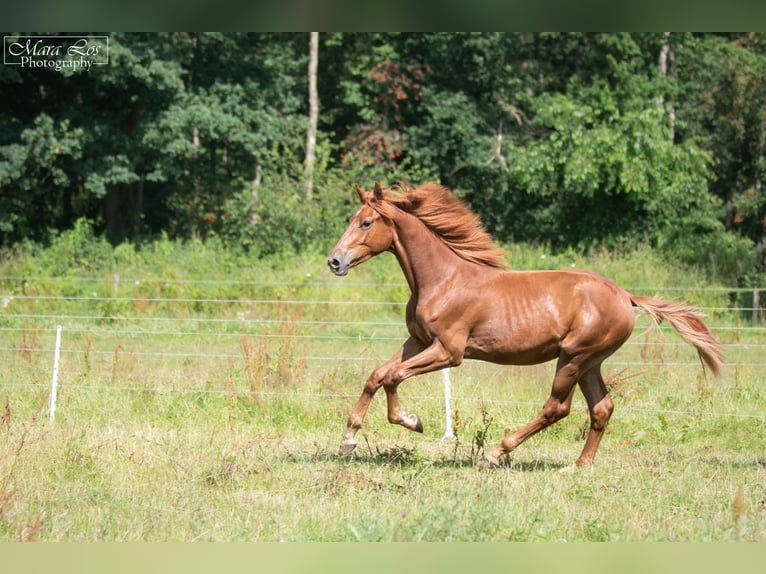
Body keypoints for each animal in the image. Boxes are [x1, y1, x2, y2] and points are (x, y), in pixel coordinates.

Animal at [328, 182, 724, 470]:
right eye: (349, 219)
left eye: (366, 222)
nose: (334, 261)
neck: (443, 280)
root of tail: (625, 296)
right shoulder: (417, 341)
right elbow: (376, 376)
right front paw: (348, 439)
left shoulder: (449, 352)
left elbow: (393, 377)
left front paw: (412, 421)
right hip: (590, 362)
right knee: (601, 409)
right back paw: (578, 466)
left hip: (573, 357)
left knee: (556, 409)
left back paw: (495, 453)